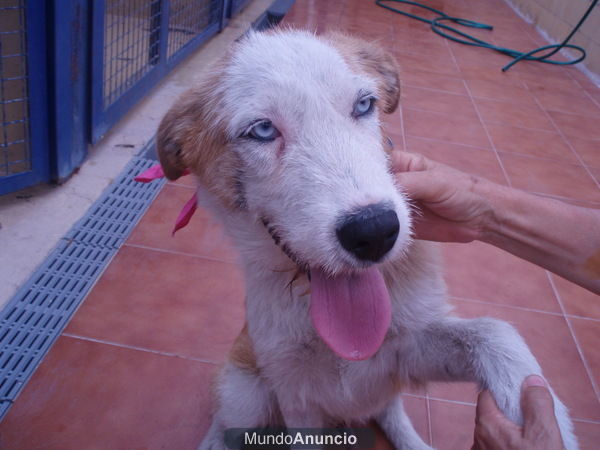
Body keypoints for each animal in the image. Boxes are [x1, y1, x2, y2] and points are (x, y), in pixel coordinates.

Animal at [156, 29, 576, 448]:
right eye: (262, 130)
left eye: (363, 105)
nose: (373, 232)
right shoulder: (293, 390)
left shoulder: (406, 350)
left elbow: (493, 332)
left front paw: (545, 424)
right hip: (247, 391)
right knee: (226, 420)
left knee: (390, 412)